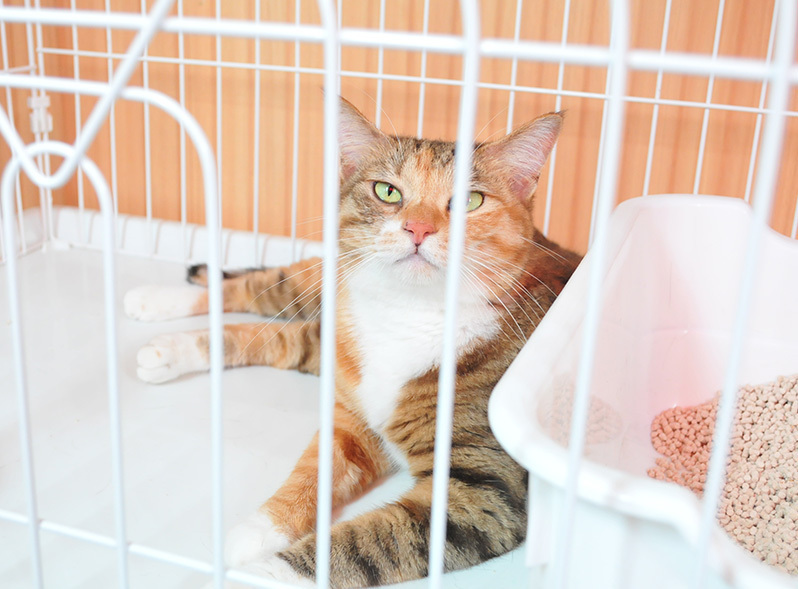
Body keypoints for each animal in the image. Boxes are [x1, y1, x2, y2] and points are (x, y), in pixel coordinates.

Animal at [124, 98, 582, 588]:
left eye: (471, 200)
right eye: (388, 192)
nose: (418, 228)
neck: (408, 315)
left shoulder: (485, 491)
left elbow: (370, 541)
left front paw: (263, 569)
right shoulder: (351, 413)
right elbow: (314, 465)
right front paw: (261, 527)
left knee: (286, 335)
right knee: (270, 291)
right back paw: (160, 309)